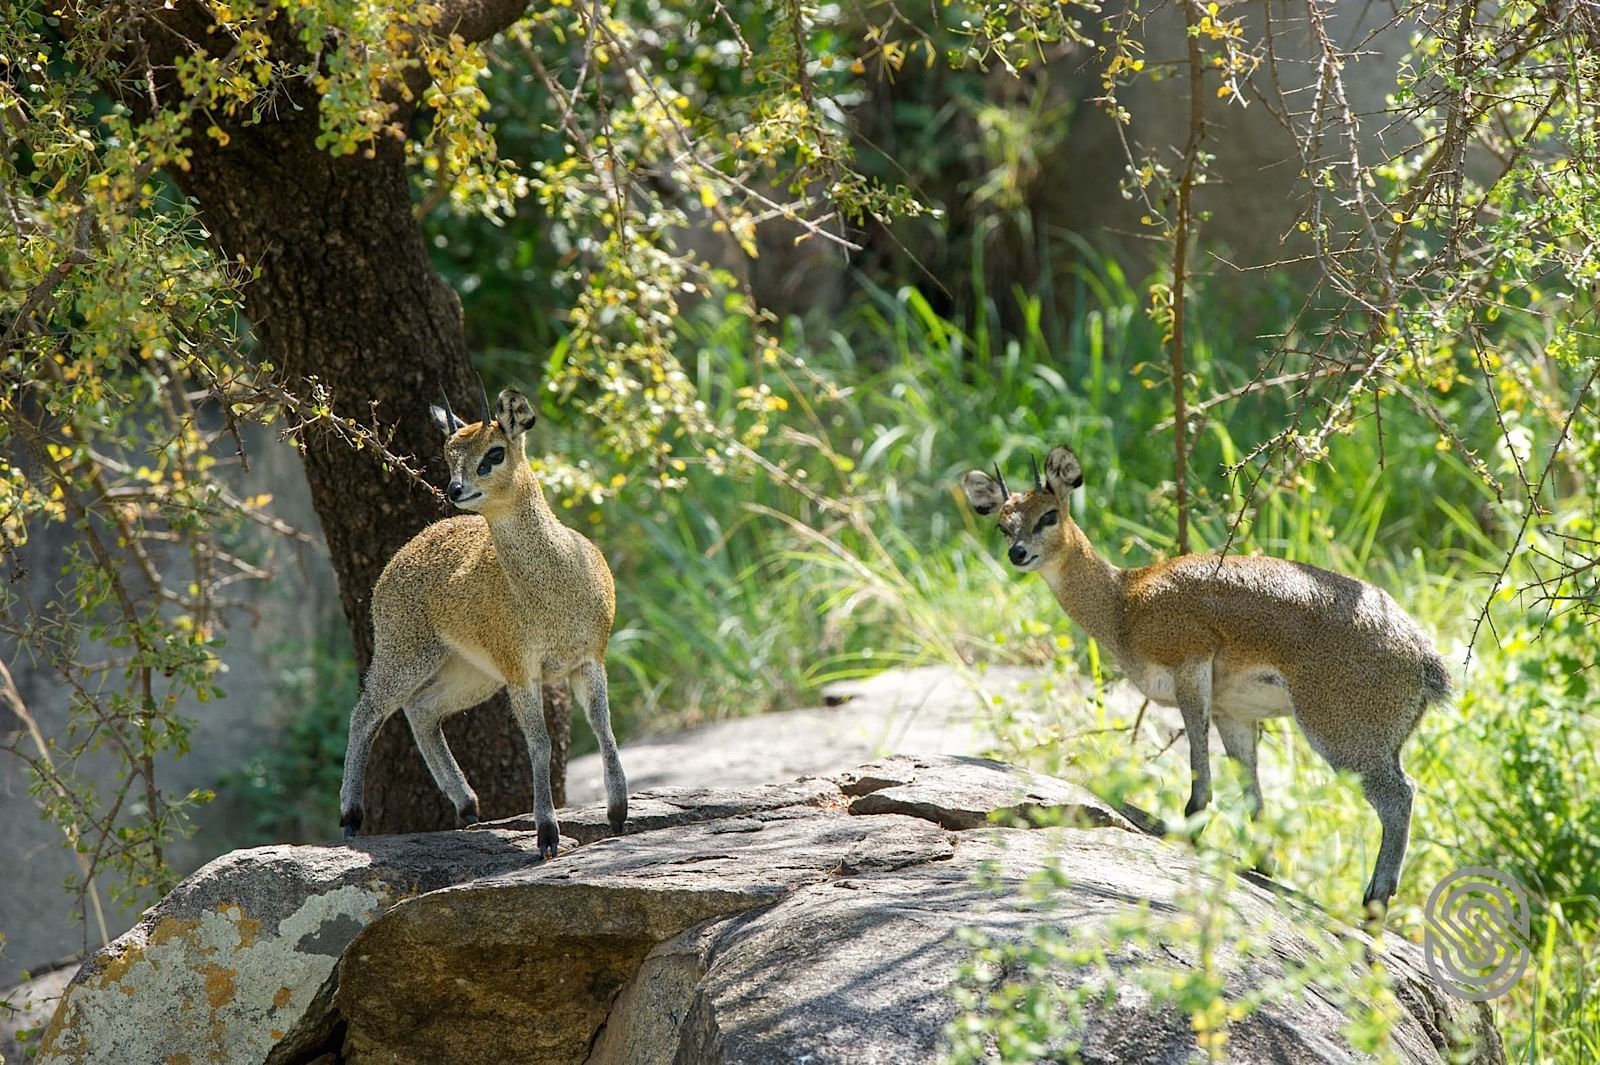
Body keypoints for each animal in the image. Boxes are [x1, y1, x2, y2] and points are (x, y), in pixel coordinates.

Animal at [338, 383, 627, 858]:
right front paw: (547, 835)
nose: (455, 489)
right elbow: (540, 744)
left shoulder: (588, 659)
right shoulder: (522, 671)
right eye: (447, 453)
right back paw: (350, 818)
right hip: (406, 653)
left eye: (495, 452)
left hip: (471, 672)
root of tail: (401, 555)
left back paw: (468, 806)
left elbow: (604, 730)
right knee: (366, 712)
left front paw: (618, 814)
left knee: (421, 710)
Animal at [961, 444, 1452, 911]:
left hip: (1341, 734)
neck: (1124, 603)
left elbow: (1199, 758)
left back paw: (1374, 901)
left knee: (1399, 796)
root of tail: (1424, 656)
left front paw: (1189, 826)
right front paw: (1263, 863)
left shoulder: (1190, 667)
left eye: (1049, 514)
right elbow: (1250, 787)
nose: (1018, 554)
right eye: (1003, 524)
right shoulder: (1234, 713)